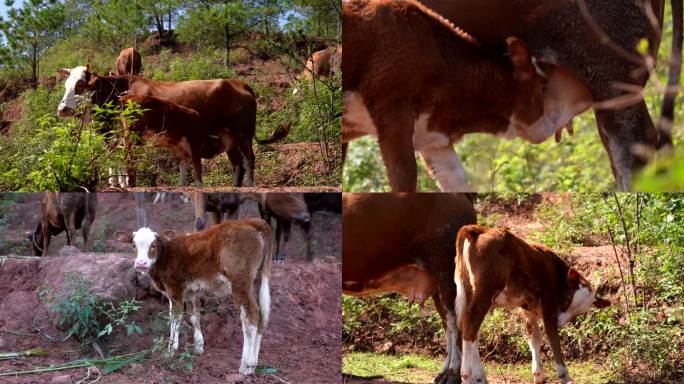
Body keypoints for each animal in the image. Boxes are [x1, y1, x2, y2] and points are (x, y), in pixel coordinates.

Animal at [113, 219, 272, 376]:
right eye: (133, 245)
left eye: (153, 245)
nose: (141, 263)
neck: (165, 255)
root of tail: (250, 222)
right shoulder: (191, 292)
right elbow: (194, 316)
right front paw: (198, 347)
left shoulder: (175, 289)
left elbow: (175, 318)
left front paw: (171, 350)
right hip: (257, 281)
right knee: (262, 316)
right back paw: (254, 363)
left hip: (239, 282)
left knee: (250, 315)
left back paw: (246, 366)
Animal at [342, 194, 476, 384]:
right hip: (439, 287)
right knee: (447, 325)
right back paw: (443, 373)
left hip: (447, 273)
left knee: (455, 325)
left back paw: (452, 374)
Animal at [344, 0, 592, 192]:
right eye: (543, 85)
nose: (586, 94)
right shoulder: (392, 111)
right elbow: (404, 178)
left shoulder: (434, 139)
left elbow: (457, 181)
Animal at [454, 225, 608, 384]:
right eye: (567, 299)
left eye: (577, 314)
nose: (560, 322)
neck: (555, 272)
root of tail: (479, 229)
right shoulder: (549, 308)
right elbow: (553, 340)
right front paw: (564, 375)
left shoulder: (528, 308)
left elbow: (534, 337)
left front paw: (538, 374)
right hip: (486, 292)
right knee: (470, 327)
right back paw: (468, 375)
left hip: (469, 291)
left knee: (469, 329)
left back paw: (478, 376)